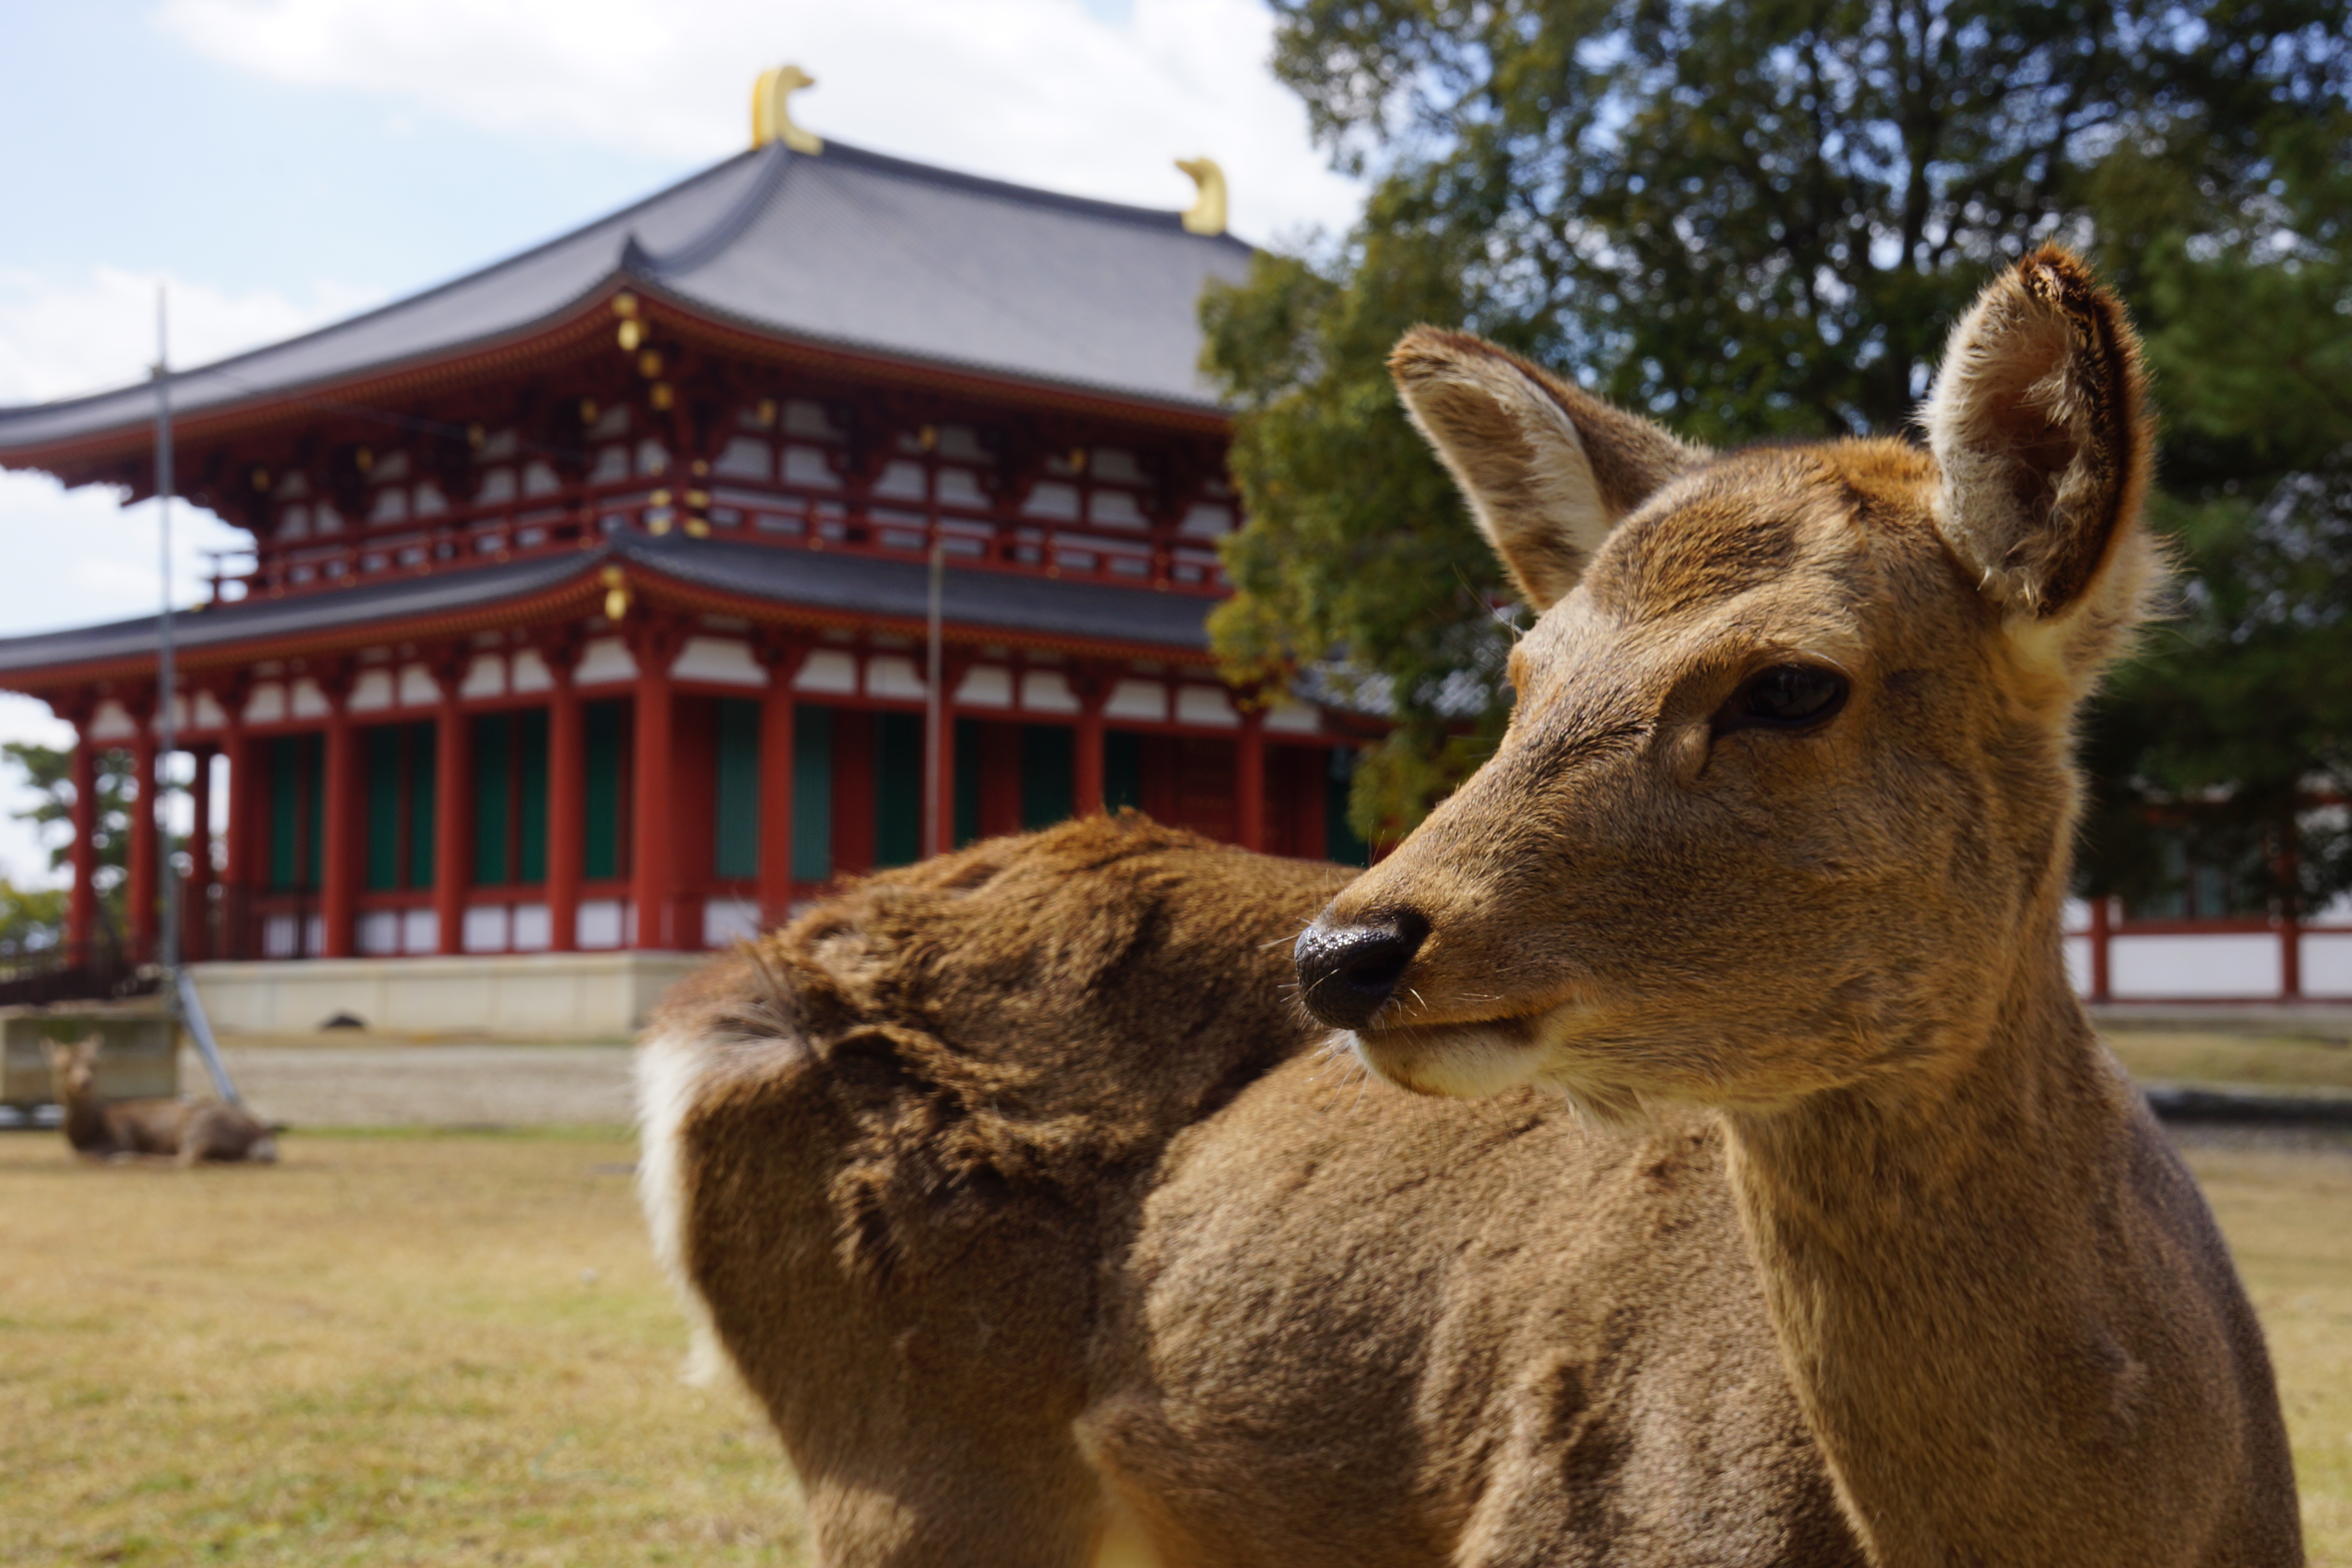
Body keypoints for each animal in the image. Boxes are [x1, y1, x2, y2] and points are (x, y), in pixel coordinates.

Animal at [46, 1044, 280, 1166]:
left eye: (94, 1065)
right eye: (64, 1067)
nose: (84, 1082)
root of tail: (264, 1139)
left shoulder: (120, 1138)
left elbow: (81, 1156)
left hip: (201, 1126)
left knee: (188, 1159)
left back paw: (127, 1159)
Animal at [640, 248, 2296, 1568]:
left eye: (1790, 683)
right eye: (1523, 672)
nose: (1348, 948)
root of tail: (709, 1015)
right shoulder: (1559, 1525)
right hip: (908, 1459)